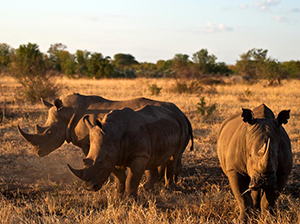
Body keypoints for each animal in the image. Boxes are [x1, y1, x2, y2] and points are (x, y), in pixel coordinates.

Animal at [17, 93, 193, 189]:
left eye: (49, 133)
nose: (36, 152)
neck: (67, 114)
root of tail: (182, 113)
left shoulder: (87, 142)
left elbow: (92, 157)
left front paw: (106, 181)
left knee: (174, 155)